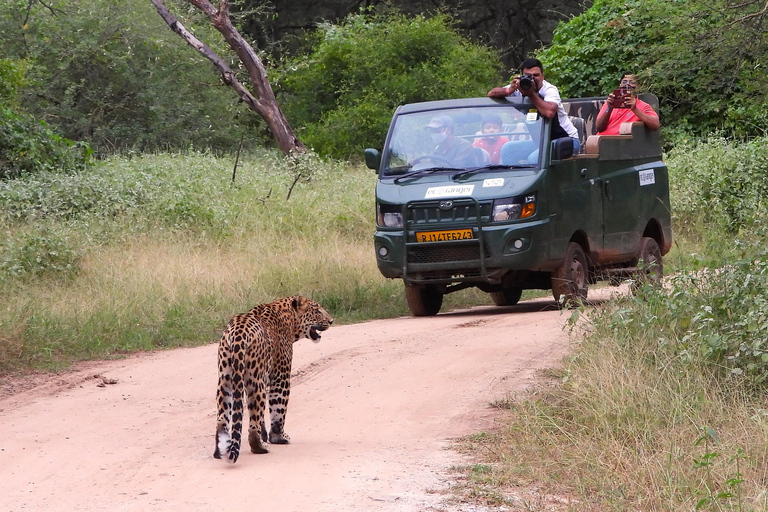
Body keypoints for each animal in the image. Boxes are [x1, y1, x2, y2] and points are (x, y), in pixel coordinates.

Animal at [212, 294, 332, 462]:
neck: (290, 320)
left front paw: (265, 435)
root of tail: (238, 332)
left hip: (226, 378)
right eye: (317, 311)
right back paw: (260, 447)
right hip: (256, 380)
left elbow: (261, 416)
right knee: (254, 421)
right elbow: (278, 408)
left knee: (223, 418)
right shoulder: (281, 377)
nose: (331, 321)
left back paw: (220, 450)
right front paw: (278, 437)